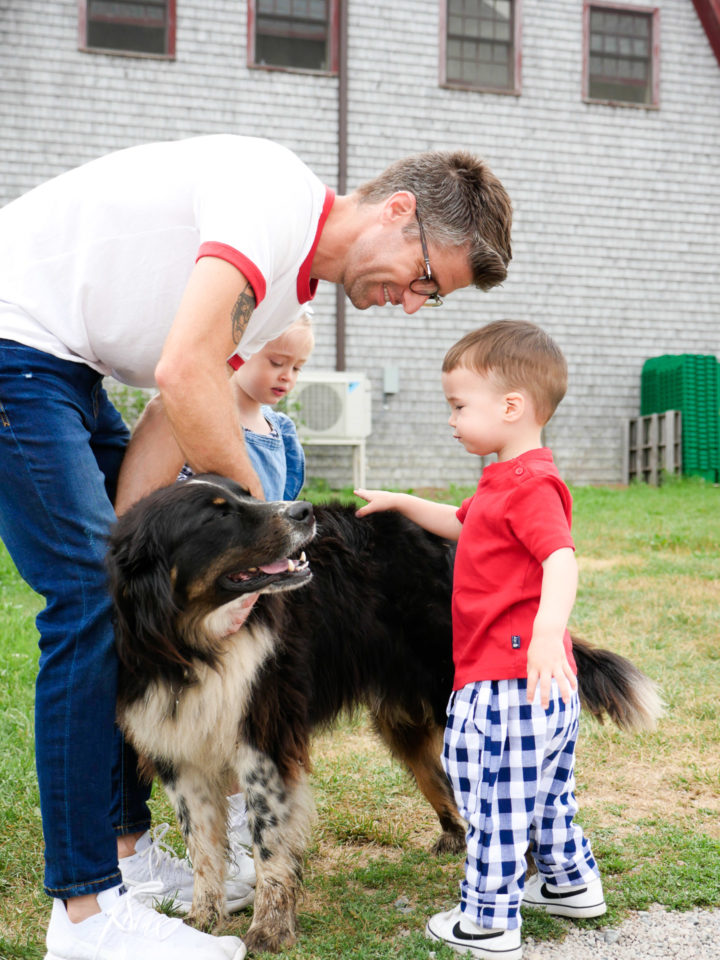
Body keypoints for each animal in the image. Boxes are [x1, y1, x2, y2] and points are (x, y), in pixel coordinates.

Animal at [108, 474, 664, 952]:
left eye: (246, 496)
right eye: (217, 515)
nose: (303, 511)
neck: (192, 645)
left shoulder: (263, 743)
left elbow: (269, 846)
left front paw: (269, 928)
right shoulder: (179, 754)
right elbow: (203, 849)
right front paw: (202, 921)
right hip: (405, 715)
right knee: (439, 775)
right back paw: (458, 837)